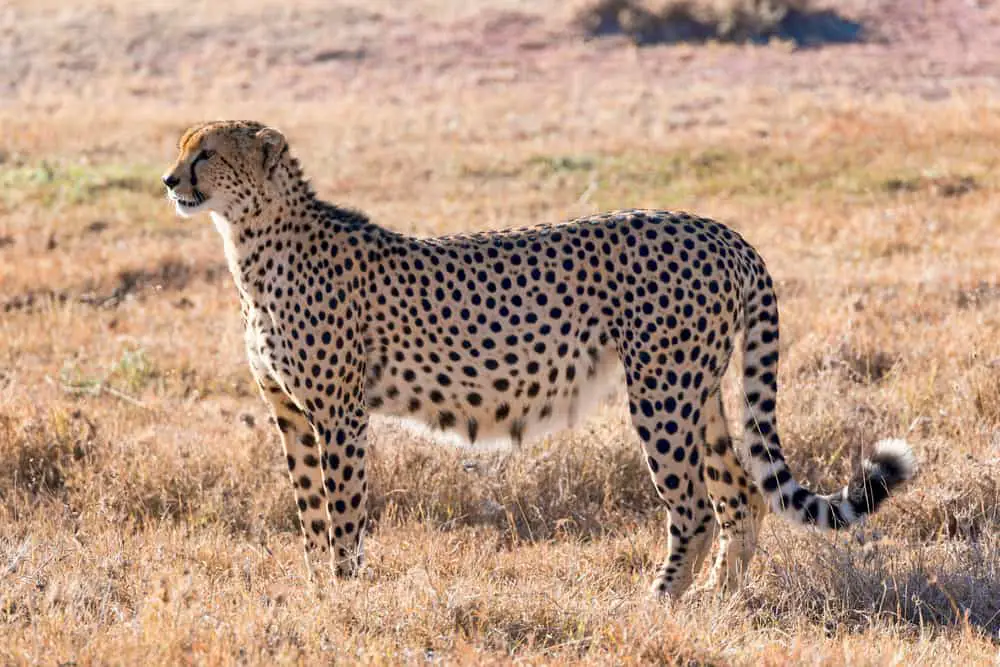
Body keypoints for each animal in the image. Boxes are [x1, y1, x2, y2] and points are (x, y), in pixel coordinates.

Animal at [162, 121, 916, 600]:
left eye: (206, 154)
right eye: (182, 149)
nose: (170, 180)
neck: (253, 242)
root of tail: (721, 231)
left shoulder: (339, 414)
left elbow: (343, 511)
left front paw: (346, 595)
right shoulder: (291, 414)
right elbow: (311, 513)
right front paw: (317, 589)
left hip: (661, 393)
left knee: (696, 505)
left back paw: (657, 600)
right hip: (696, 391)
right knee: (741, 491)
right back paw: (717, 598)